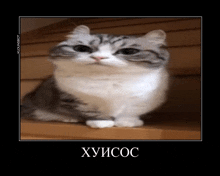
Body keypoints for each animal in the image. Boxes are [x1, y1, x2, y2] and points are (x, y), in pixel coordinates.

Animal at [20, 24, 169, 129]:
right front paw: (101, 122)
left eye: (128, 51)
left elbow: (129, 111)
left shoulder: (141, 99)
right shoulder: (76, 98)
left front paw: (127, 122)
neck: (107, 79)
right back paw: (68, 118)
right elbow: (91, 111)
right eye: (82, 49)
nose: (99, 57)